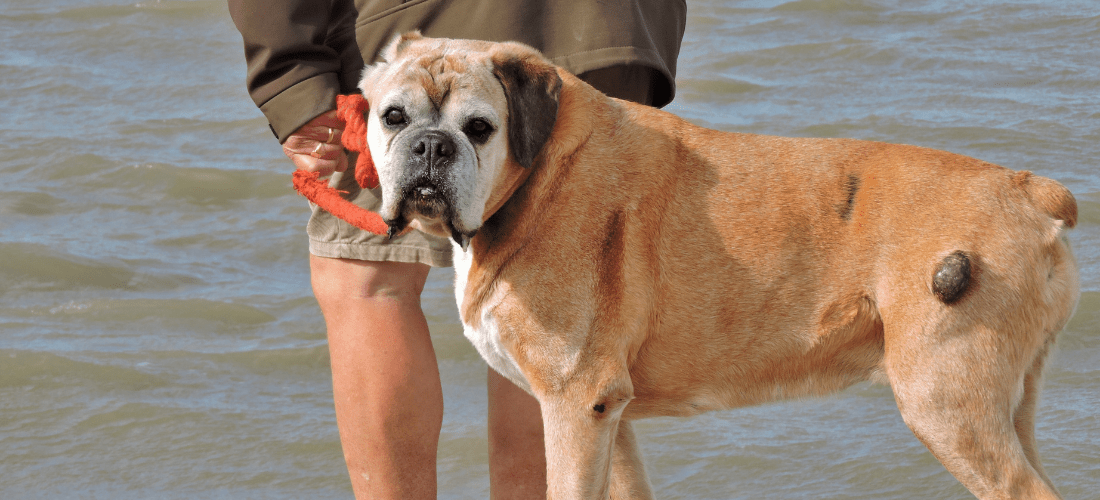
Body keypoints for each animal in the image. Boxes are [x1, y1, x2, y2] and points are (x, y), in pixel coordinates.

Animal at [356, 33, 1078, 498]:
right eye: (392, 117)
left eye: (479, 127)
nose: (430, 146)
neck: (538, 176)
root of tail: (1027, 188)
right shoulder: (607, 418)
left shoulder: (572, 407)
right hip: (1003, 408)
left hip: (948, 405)